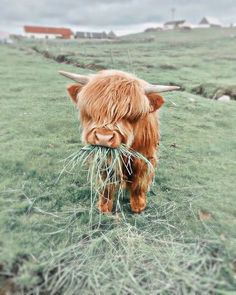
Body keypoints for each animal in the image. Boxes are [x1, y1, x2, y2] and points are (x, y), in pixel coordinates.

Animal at [59, 71, 179, 215]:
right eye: (91, 111)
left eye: (132, 115)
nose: (103, 137)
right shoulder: (104, 160)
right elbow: (106, 183)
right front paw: (104, 207)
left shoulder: (145, 157)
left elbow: (139, 182)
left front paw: (138, 206)